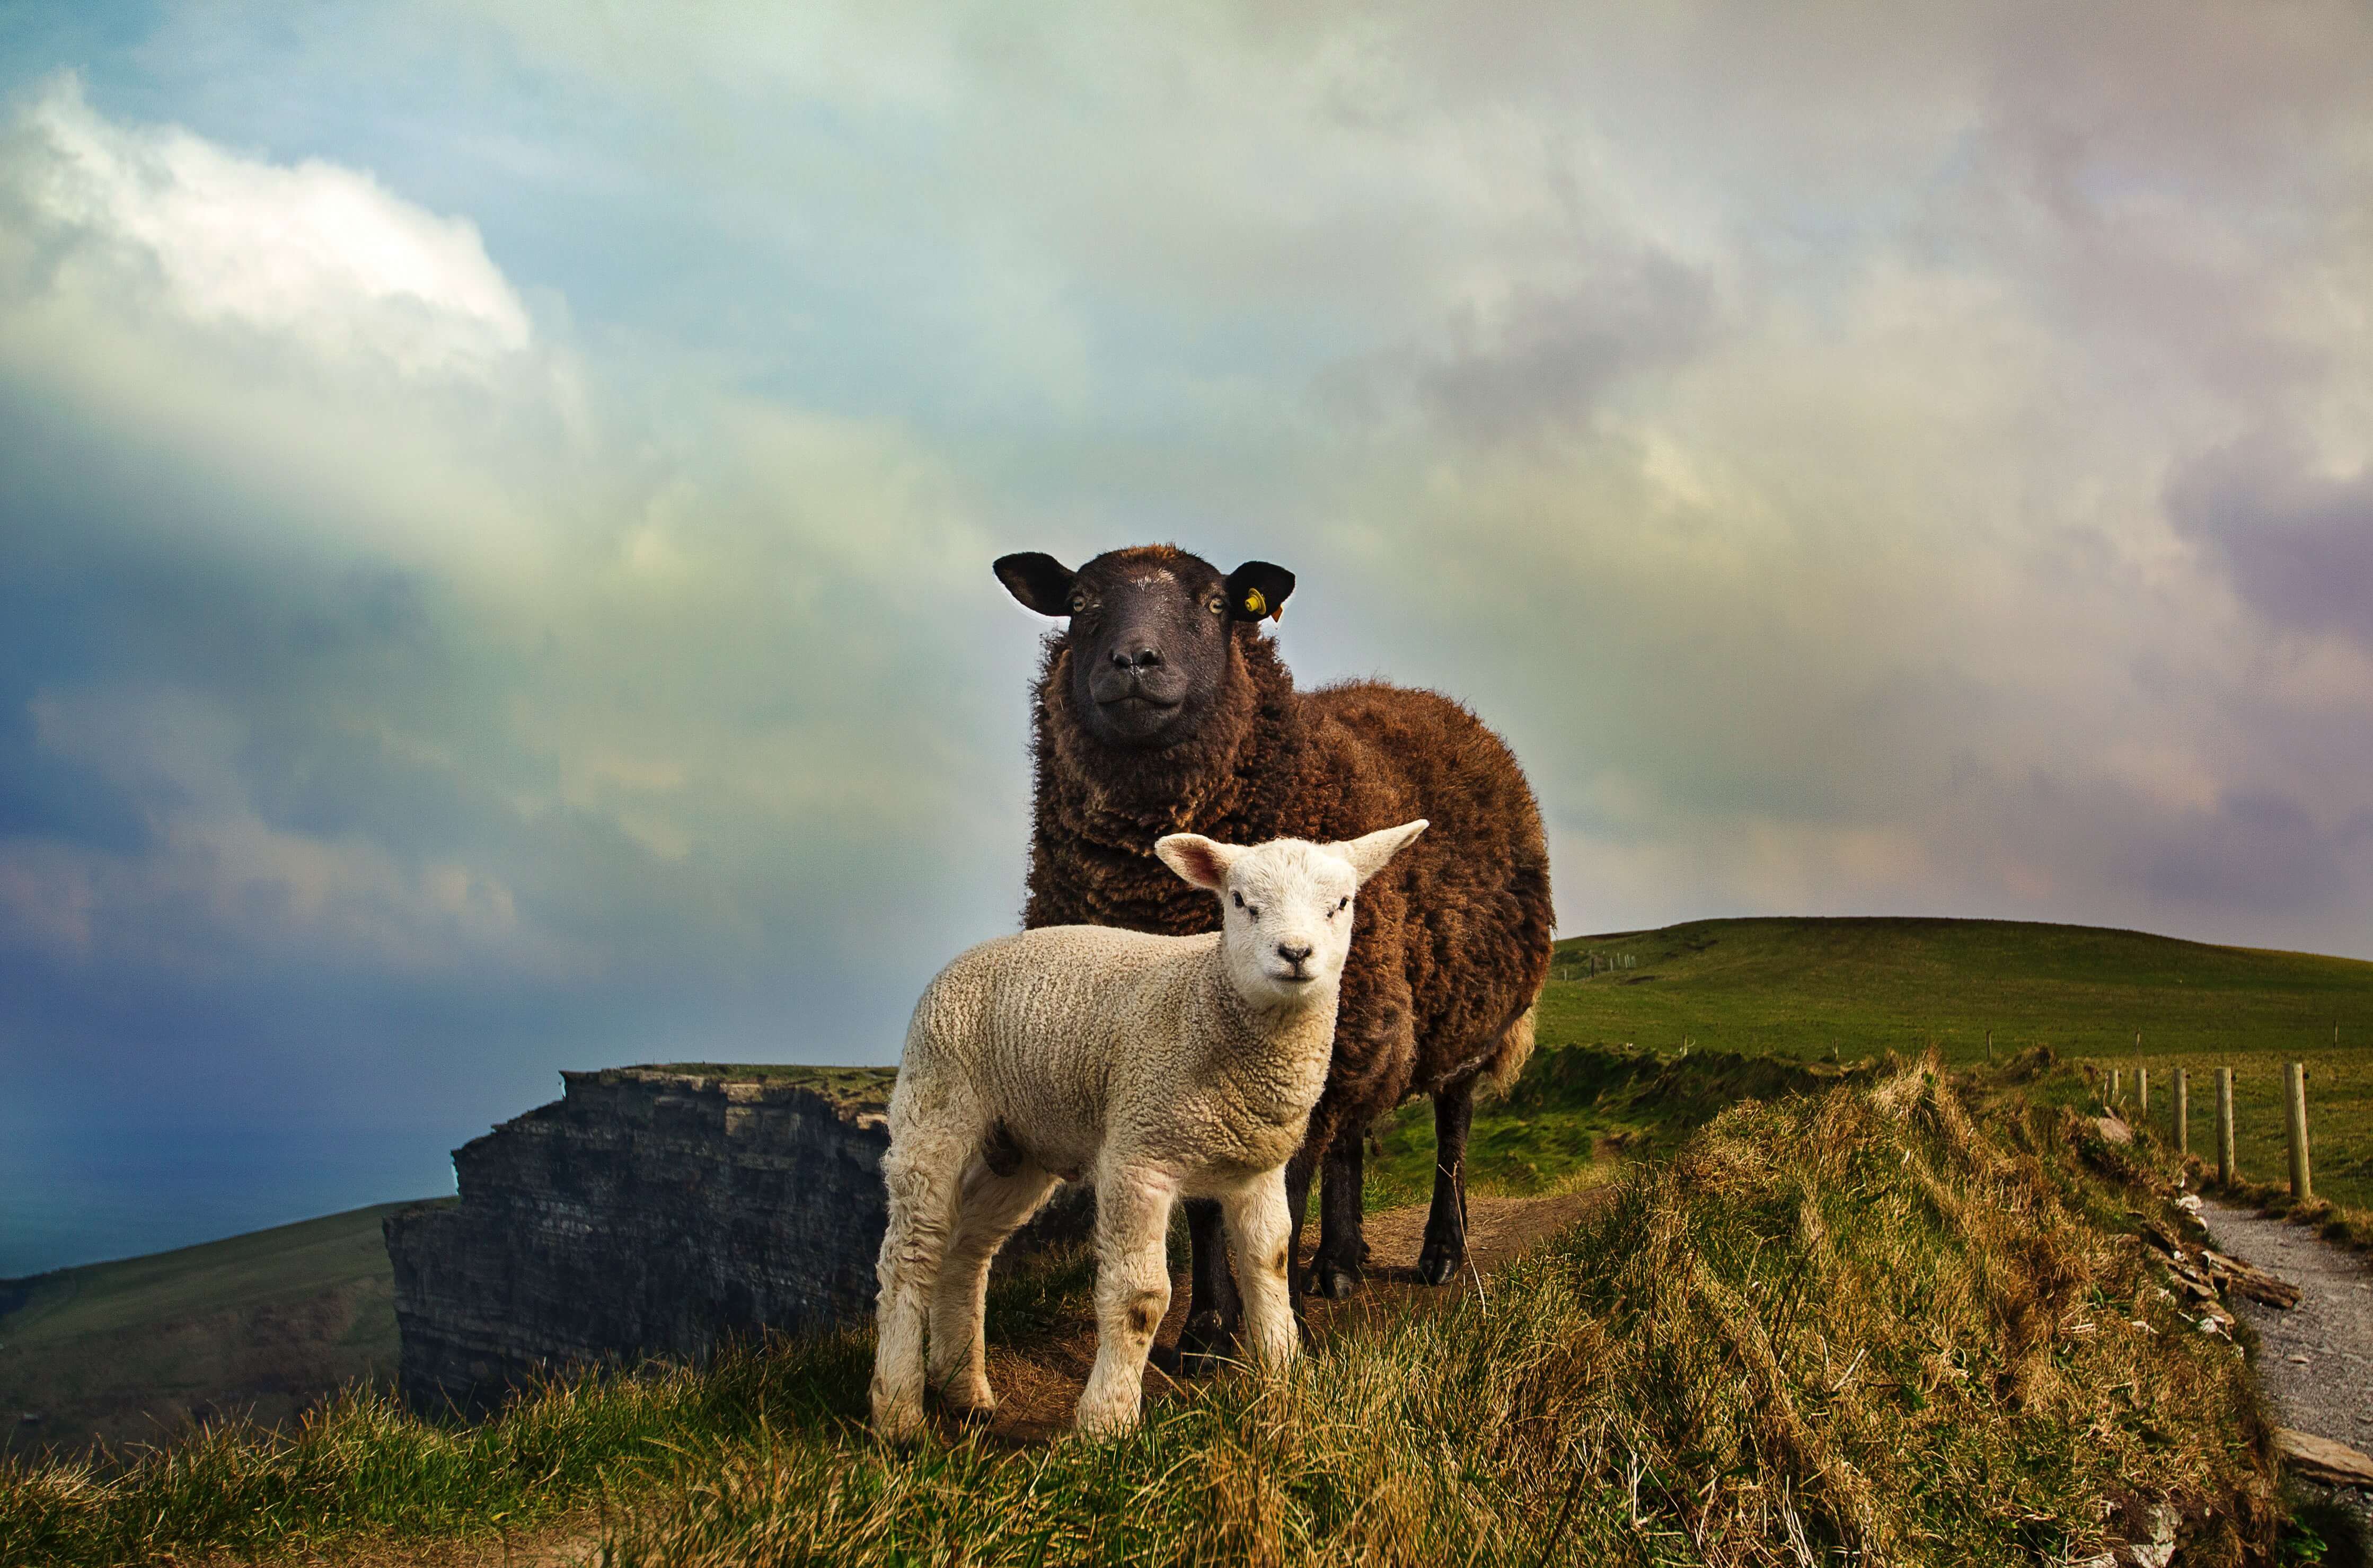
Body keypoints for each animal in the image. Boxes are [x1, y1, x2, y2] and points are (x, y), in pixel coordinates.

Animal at [873, 811, 1424, 1432]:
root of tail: (964, 958)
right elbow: (1141, 1297)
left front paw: (1285, 1384)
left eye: (1342, 903)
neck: (1207, 1002)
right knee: (911, 1254)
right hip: (936, 1105)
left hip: (1019, 1146)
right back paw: (899, 1412)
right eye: (1241, 901)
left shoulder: (1257, 1169)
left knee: (966, 1251)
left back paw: (963, 1389)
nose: (1295, 952)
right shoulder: (1139, 1154)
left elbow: (1271, 1266)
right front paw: (1106, 1421)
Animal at [987, 541, 1556, 1366]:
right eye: (1081, 602)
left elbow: (1278, 1196)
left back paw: (1441, 1254)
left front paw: (1269, 1331)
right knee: (1353, 1137)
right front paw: (1204, 1333)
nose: (1134, 660)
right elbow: (1206, 1207)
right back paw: (1339, 1265)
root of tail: (1434, 700)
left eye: (1216, 604)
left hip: (1461, 1015)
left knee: (1451, 1127)